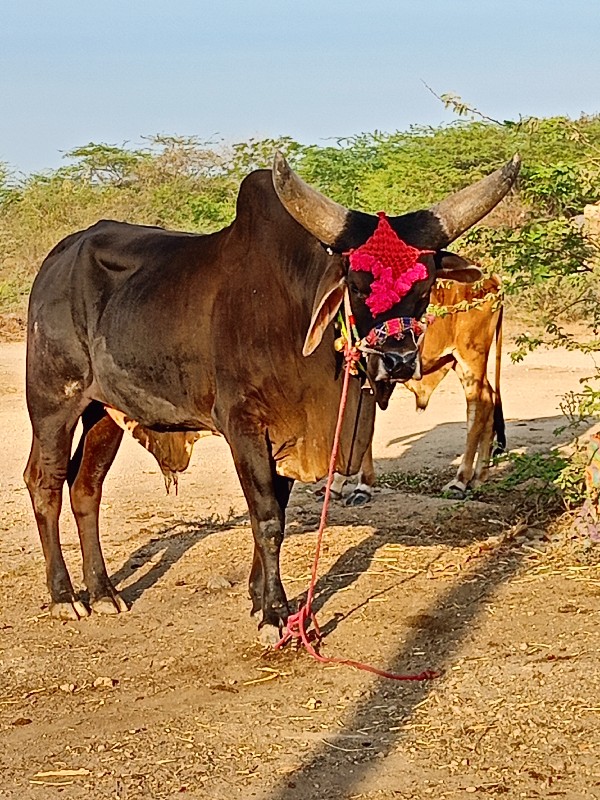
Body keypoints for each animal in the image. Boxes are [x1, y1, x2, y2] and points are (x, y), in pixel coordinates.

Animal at [24, 155, 520, 644]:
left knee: (86, 487)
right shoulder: (244, 426)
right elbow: (266, 518)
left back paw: (103, 591)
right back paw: (64, 596)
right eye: (358, 284)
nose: (397, 360)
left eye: (425, 285)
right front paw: (275, 614)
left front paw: (257, 596)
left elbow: (276, 509)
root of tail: (55, 260)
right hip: (53, 403)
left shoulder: (286, 438)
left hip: (104, 412)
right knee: (44, 482)